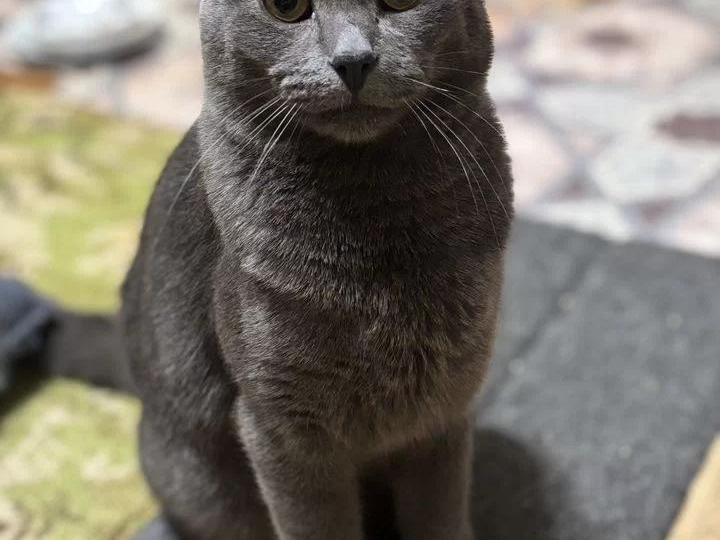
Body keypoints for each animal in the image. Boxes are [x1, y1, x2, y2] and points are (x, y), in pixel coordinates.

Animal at [126, 0, 511, 538]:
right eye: (285, 9)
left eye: (401, 4)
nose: (354, 60)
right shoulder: (281, 428)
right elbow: (316, 522)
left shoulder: (446, 402)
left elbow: (441, 512)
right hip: (198, 481)